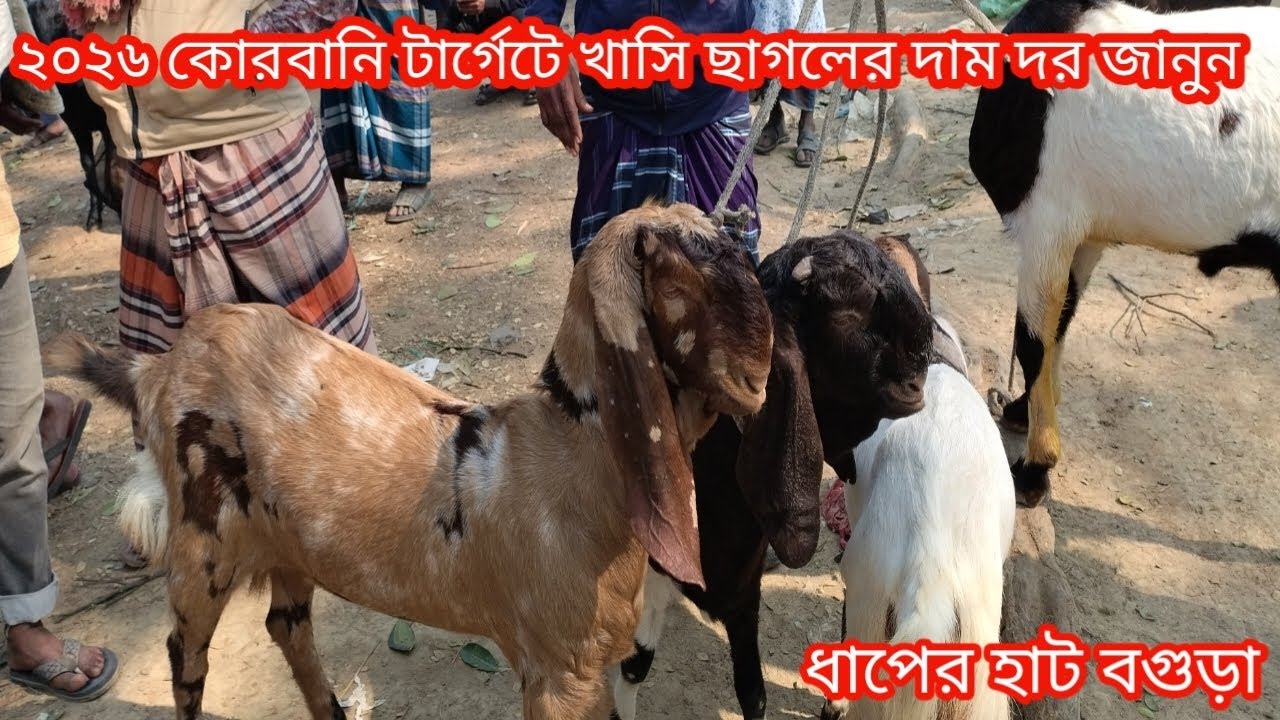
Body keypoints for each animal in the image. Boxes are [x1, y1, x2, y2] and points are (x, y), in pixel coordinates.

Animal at [27, 0, 122, 230]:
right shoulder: (75, 125)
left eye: (64, 20)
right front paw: (94, 214)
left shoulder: (108, 122)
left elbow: (110, 162)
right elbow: (87, 164)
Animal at [44, 202, 781, 720]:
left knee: (285, 624)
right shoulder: (558, 674)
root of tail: (155, 368)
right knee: (187, 657)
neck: (567, 454)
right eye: (685, 269)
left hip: (288, 542)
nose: (759, 382)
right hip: (203, 546)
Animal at [608, 230, 938, 720]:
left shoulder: (742, 591)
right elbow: (634, 666)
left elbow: (753, 692)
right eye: (847, 309)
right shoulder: (655, 565)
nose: (924, 347)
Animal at [968, 0, 1280, 507]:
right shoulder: (1087, 235)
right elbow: (1061, 321)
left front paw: (1035, 467)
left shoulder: (1046, 221)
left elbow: (1031, 340)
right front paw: (1020, 411)